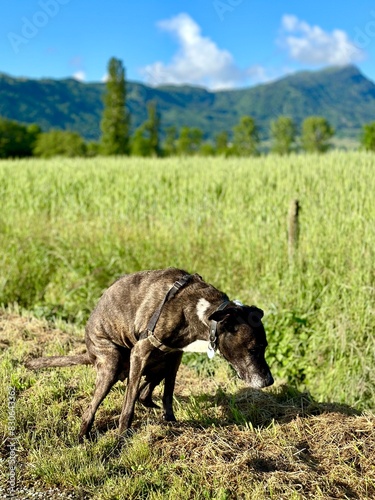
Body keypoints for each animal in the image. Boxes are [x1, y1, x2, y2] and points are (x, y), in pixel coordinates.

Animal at [26, 268, 274, 440]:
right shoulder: (140, 351)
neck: (199, 310)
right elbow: (128, 407)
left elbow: (167, 394)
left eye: (265, 347)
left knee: (144, 392)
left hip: (157, 365)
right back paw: (82, 435)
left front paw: (170, 420)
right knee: (92, 409)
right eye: (254, 348)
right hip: (112, 363)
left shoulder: (174, 358)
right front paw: (121, 436)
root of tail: (90, 351)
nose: (269, 381)